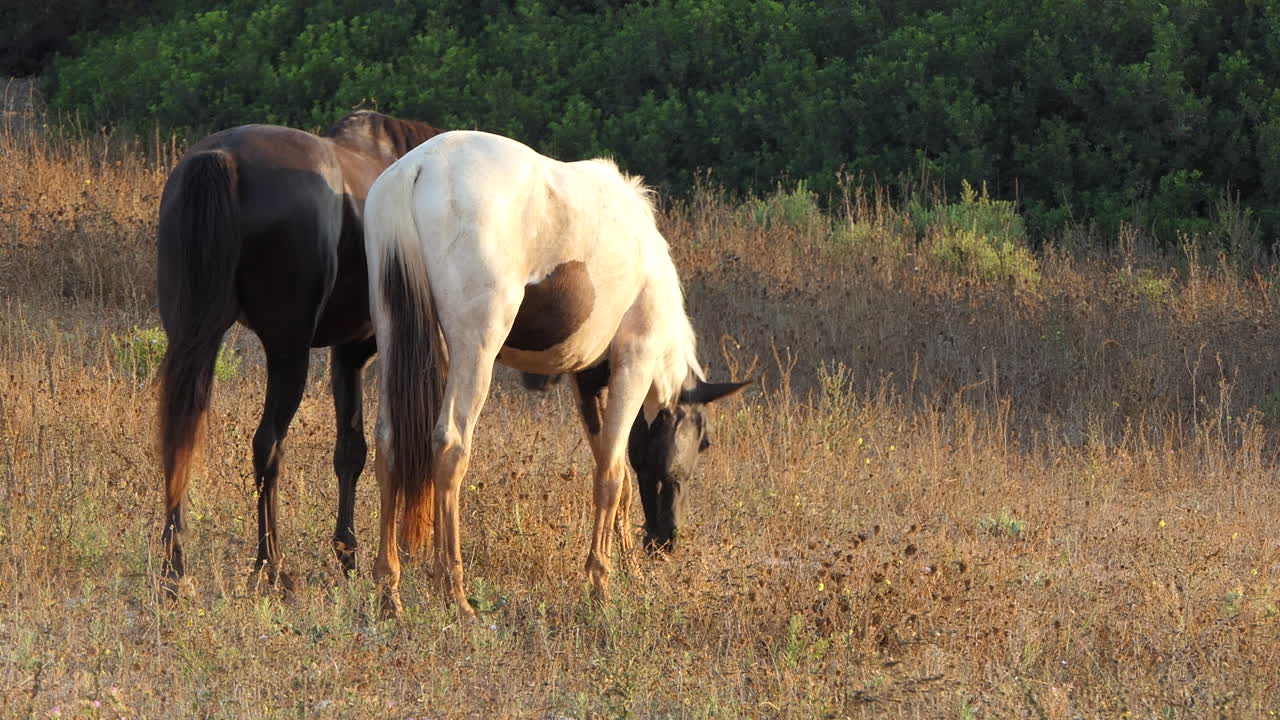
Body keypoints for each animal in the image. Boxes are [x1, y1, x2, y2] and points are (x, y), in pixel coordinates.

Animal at [156, 110, 445, 595]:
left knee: (179, 433)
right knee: (267, 446)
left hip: (193, 335)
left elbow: (351, 451)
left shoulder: (347, 355)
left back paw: (175, 566)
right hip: (288, 351)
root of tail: (222, 158)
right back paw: (271, 565)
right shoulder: (377, 352)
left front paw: (347, 553)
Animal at [364, 130, 748, 616]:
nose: (666, 541)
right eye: (704, 442)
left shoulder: (586, 382)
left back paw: (388, 590)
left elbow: (615, 468)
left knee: (388, 442)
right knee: (450, 446)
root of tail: (421, 167)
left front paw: (628, 570)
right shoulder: (634, 363)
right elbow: (612, 477)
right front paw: (601, 582)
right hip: (475, 349)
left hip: (394, 335)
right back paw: (455, 592)